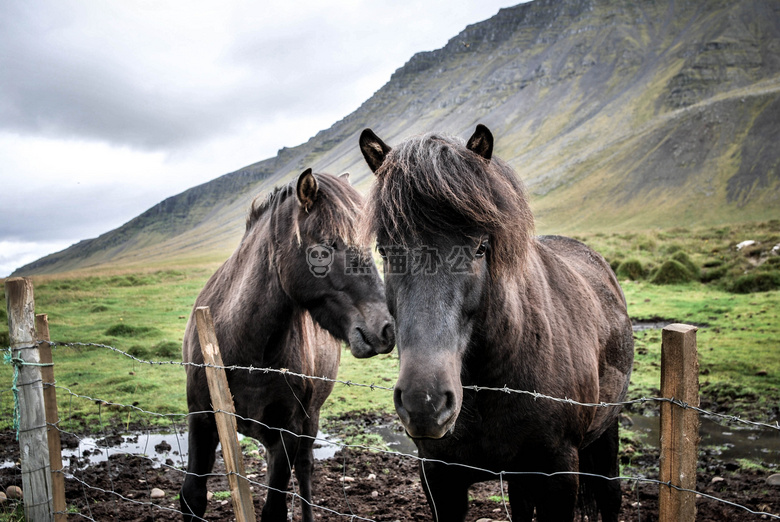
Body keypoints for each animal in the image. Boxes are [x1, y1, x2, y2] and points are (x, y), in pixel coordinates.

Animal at [180, 169, 394, 516]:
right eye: (326, 246)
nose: (386, 329)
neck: (248, 352)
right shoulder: (201, 418)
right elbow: (193, 496)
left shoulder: (288, 432)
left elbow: (275, 508)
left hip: (309, 421)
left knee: (305, 470)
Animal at [360, 126, 632, 520]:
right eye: (385, 251)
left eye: (480, 248)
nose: (424, 403)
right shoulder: (440, 478)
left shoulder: (559, 476)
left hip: (606, 435)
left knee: (610, 495)